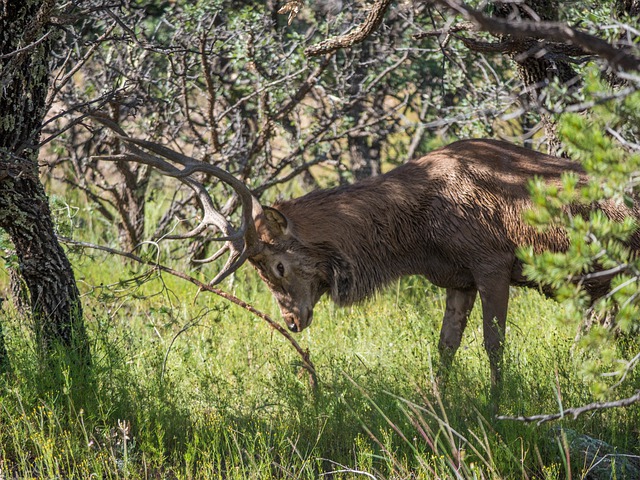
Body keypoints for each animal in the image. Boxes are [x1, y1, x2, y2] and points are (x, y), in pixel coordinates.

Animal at [105, 133, 640, 388]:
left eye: (277, 266)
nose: (292, 321)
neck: (416, 234)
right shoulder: (458, 279)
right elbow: (444, 347)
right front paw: (442, 401)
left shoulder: (492, 263)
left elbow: (494, 346)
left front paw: (496, 405)